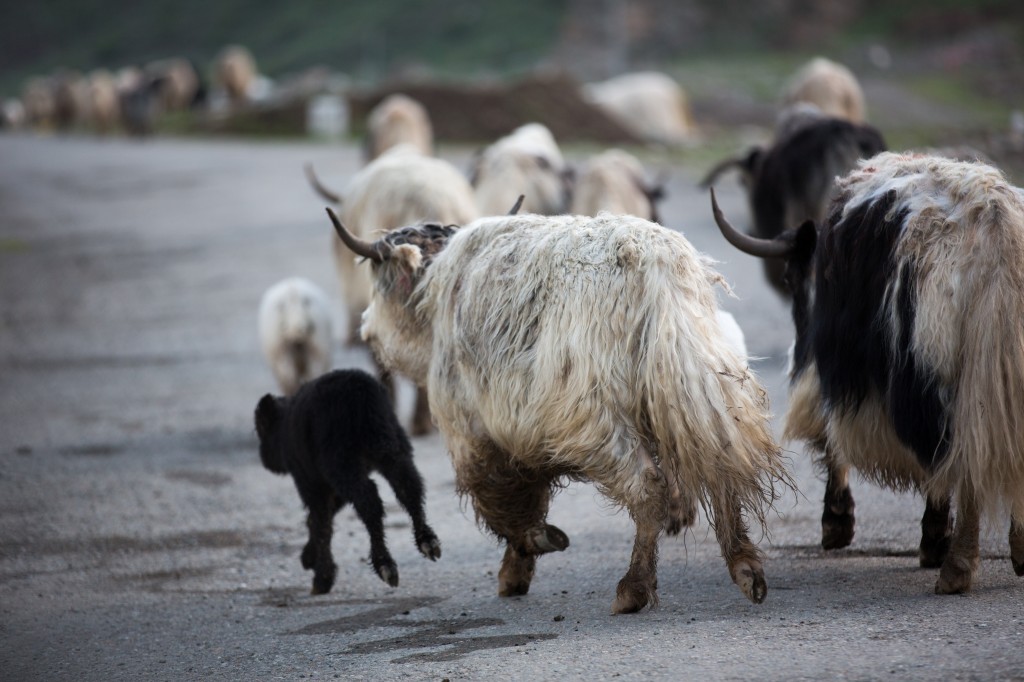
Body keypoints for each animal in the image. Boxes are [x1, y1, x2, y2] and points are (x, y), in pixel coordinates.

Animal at [254, 364, 440, 593]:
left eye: (262, 431)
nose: (264, 458)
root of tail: (360, 391)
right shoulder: (332, 486)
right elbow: (322, 517)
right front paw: (309, 557)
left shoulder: (310, 482)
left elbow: (321, 522)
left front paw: (322, 577)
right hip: (392, 446)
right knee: (409, 486)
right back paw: (427, 541)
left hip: (343, 462)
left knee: (370, 503)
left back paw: (384, 565)